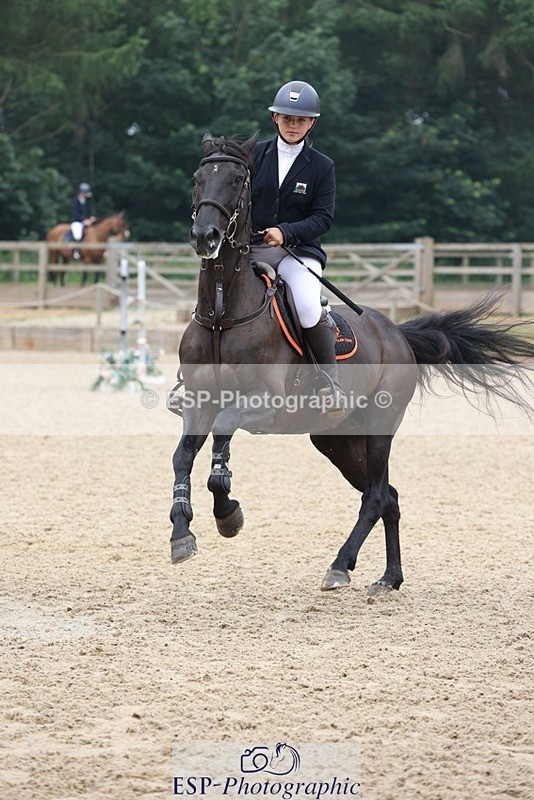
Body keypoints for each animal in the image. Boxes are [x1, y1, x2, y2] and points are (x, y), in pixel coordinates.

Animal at [169, 132, 534, 593]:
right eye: (198, 178)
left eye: (237, 179)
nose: (205, 236)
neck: (223, 315)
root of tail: (397, 334)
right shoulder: (198, 402)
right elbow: (183, 457)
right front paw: (181, 533)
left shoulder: (264, 404)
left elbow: (222, 435)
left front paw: (228, 514)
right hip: (335, 439)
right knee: (388, 496)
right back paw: (390, 578)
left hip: (378, 428)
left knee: (376, 496)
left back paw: (340, 565)